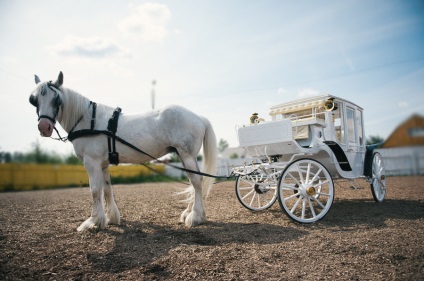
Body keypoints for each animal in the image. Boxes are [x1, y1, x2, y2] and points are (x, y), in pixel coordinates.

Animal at [29, 71, 219, 231]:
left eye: (57, 99)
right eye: (34, 100)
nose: (44, 127)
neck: (88, 120)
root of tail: (198, 117)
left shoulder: (91, 162)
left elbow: (95, 190)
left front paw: (93, 221)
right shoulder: (102, 164)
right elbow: (107, 188)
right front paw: (110, 218)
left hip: (187, 155)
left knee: (196, 181)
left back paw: (195, 216)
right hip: (183, 155)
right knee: (193, 182)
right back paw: (189, 212)